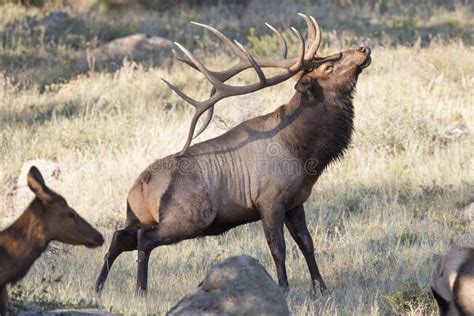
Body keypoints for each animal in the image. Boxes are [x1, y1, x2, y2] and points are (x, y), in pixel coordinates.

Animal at [95, 12, 370, 294]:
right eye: (328, 67)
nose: (364, 48)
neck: (304, 154)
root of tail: (139, 186)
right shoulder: (269, 199)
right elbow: (278, 248)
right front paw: (283, 288)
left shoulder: (296, 201)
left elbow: (307, 243)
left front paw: (321, 288)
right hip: (189, 218)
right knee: (144, 239)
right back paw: (140, 288)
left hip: (137, 216)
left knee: (119, 236)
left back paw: (99, 286)